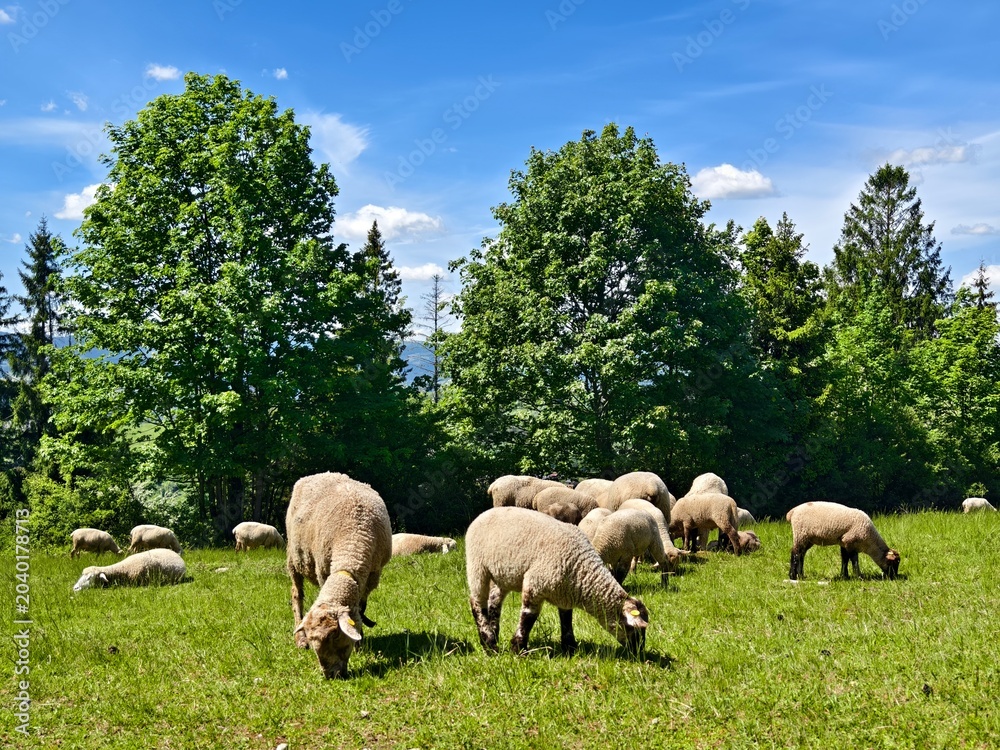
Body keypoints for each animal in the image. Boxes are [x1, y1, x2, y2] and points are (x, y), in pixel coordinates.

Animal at [286, 471, 392, 679]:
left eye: (335, 635)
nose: (331, 675)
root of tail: (321, 473)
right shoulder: (322, 570)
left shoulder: (372, 576)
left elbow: (360, 610)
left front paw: (359, 643)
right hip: (294, 559)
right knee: (297, 596)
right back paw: (299, 638)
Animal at [465, 506, 650, 655]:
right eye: (634, 629)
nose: (639, 652)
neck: (581, 570)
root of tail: (485, 513)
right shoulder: (535, 585)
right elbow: (528, 617)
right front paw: (519, 649)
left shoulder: (564, 593)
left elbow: (566, 620)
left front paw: (570, 648)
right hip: (477, 566)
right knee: (477, 603)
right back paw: (489, 644)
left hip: (502, 574)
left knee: (494, 602)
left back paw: (494, 634)